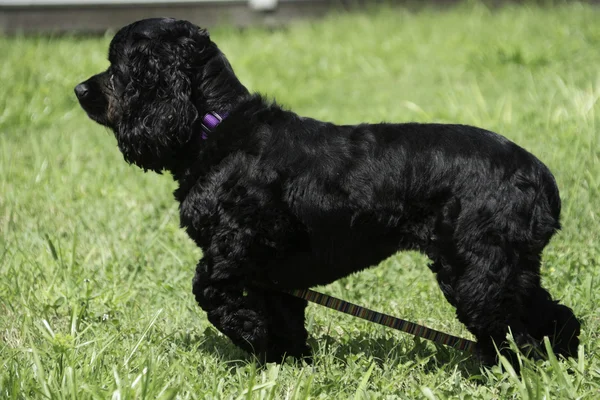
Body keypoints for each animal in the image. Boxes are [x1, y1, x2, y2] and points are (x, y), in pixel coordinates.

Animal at [72, 17, 580, 364]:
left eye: (118, 67)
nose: (78, 89)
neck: (215, 127)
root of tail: (539, 176)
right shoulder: (274, 273)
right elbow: (283, 319)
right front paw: (286, 361)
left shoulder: (238, 250)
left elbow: (209, 289)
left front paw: (247, 332)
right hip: (510, 267)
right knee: (552, 316)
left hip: (477, 270)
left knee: (515, 332)